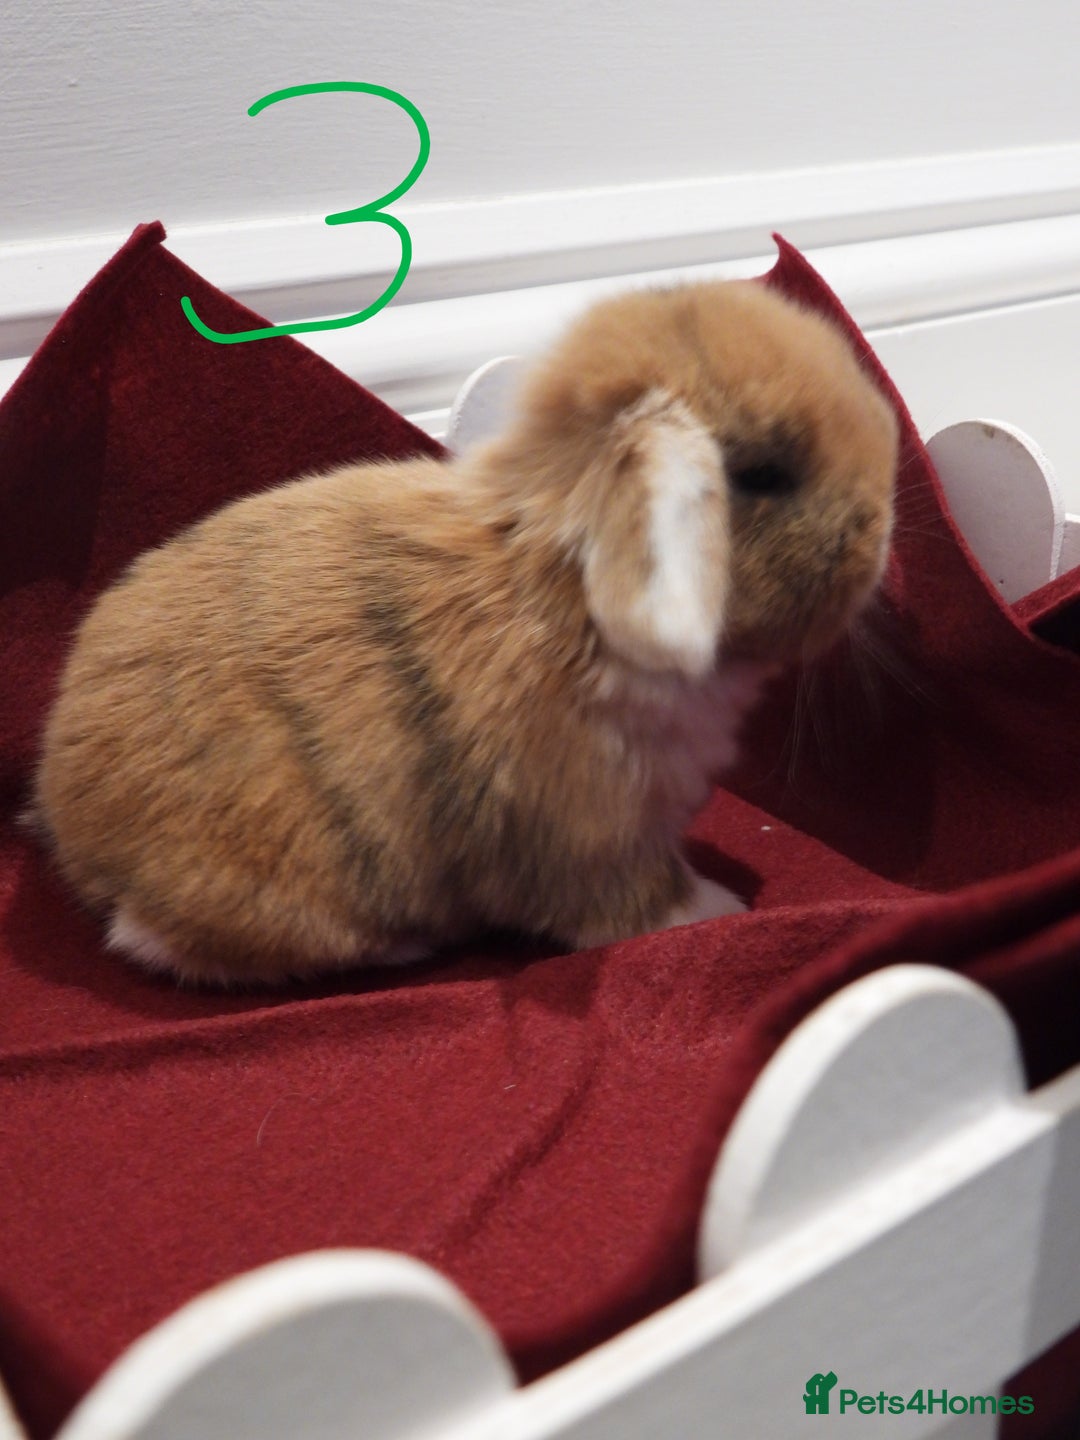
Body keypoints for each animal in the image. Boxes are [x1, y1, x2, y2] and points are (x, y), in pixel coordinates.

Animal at [32, 278, 898, 986]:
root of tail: (69, 822)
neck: (568, 595)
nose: (882, 536)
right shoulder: (597, 838)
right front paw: (726, 910)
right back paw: (403, 946)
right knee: (152, 941)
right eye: (761, 474)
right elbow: (643, 906)